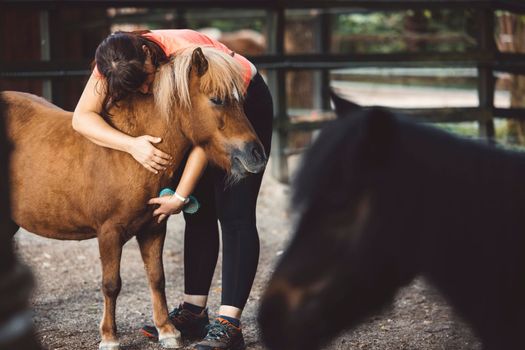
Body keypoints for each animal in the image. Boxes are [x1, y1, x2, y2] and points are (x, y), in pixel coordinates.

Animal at [2, 47, 266, 350]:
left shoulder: (153, 228)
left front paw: (167, 330)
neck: (130, 152)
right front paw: (109, 336)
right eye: (217, 100)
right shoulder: (109, 232)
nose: (257, 154)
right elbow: (111, 284)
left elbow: (157, 278)